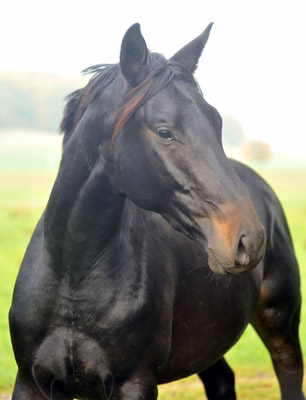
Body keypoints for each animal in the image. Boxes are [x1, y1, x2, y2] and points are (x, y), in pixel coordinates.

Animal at [10, 24, 304, 400]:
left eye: (217, 123)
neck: (73, 277)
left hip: (279, 321)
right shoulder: (31, 381)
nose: (249, 241)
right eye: (164, 132)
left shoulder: (134, 383)